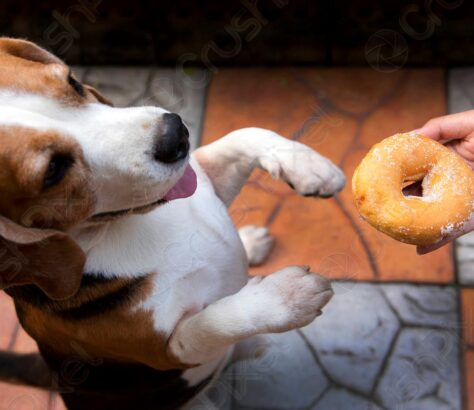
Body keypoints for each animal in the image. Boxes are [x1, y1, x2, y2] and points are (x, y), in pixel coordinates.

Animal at [0, 36, 344, 408]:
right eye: (53, 170)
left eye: (73, 82)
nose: (176, 132)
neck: (120, 225)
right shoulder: (169, 351)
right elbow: (214, 321)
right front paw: (286, 297)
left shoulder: (202, 179)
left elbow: (245, 134)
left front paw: (309, 166)